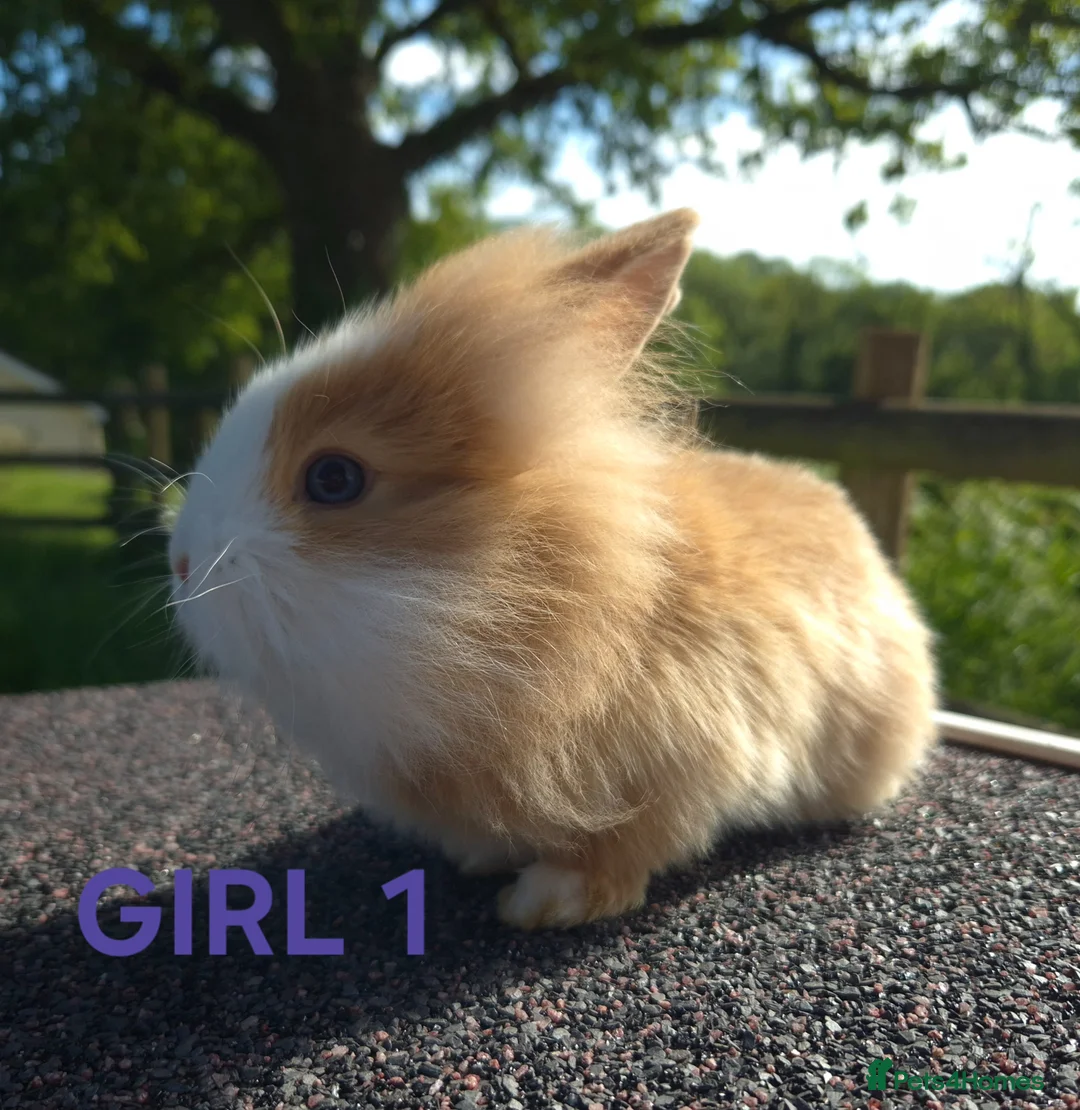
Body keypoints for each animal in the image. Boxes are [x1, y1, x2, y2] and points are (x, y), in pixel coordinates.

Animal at [167, 208, 937, 930]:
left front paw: (541, 902)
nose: (181, 563)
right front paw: (476, 858)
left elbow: (620, 853)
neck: (547, 595)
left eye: (334, 478)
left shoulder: (678, 762)